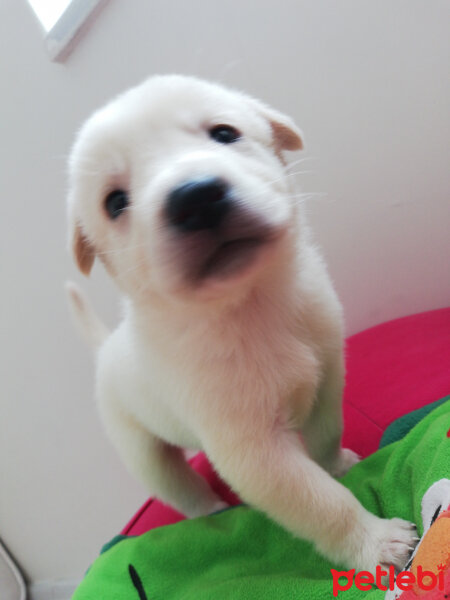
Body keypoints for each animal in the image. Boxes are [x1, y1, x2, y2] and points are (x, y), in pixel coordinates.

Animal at [66, 75, 414, 572]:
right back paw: (212, 510)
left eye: (225, 133)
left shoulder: (328, 379)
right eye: (114, 202)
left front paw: (337, 464)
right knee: (181, 489)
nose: (194, 197)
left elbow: (327, 434)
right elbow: (322, 502)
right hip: (145, 453)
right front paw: (374, 540)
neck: (249, 307)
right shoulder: (258, 454)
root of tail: (106, 349)